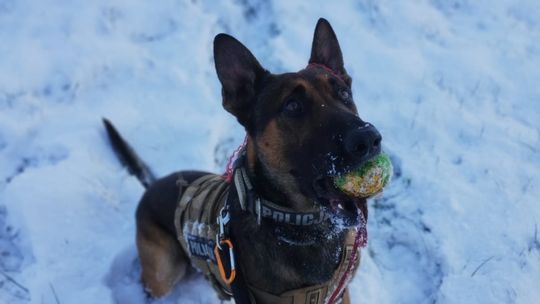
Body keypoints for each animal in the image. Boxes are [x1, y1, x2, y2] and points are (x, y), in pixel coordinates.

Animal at [103, 17, 382, 302]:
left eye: (344, 94)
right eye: (293, 106)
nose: (369, 139)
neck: (297, 225)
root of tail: (152, 184)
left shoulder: (339, 293)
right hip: (164, 273)